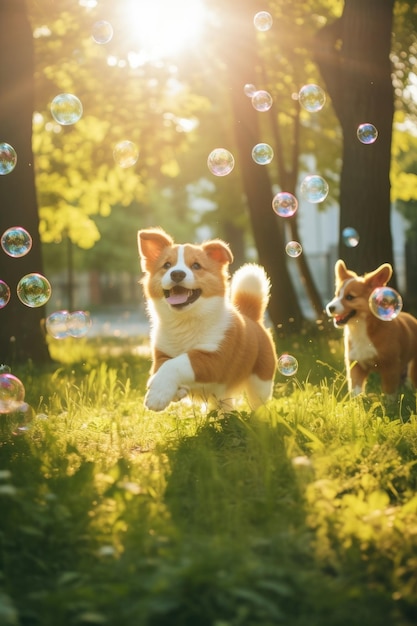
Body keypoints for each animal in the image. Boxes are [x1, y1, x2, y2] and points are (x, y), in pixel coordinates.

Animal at [138, 227, 278, 412]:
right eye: (167, 265)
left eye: (196, 266)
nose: (177, 274)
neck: (185, 322)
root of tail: (251, 317)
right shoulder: (161, 353)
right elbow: (163, 366)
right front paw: (171, 390)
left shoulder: (215, 358)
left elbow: (178, 362)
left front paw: (157, 395)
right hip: (222, 397)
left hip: (261, 382)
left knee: (259, 404)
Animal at [324, 258, 416, 394]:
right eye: (336, 295)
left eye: (350, 297)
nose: (330, 307)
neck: (361, 329)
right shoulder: (356, 365)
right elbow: (355, 390)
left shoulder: (390, 366)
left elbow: (389, 392)